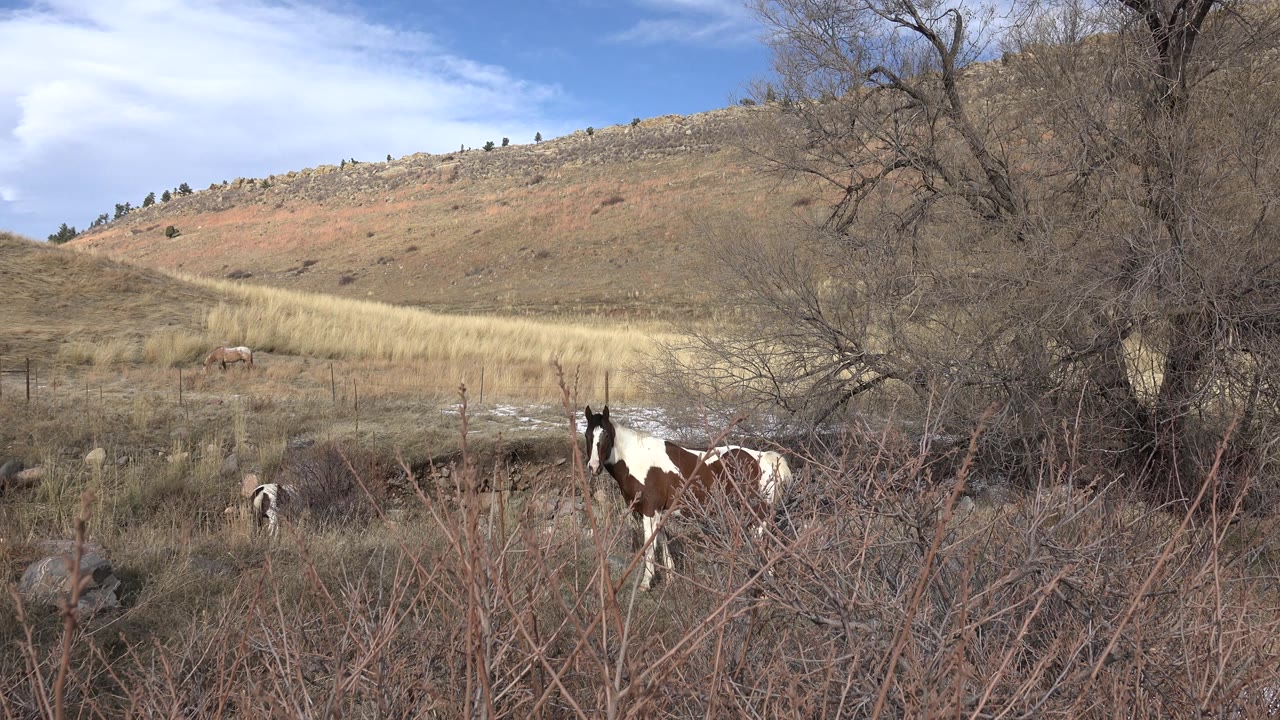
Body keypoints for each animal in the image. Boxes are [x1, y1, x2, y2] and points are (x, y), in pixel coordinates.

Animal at [583, 405, 793, 590]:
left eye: (606, 435)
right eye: (587, 435)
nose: (593, 467)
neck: (639, 460)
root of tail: (767, 459)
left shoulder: (650, 511)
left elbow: (649, 548)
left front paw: (646, 583)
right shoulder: (659, 512)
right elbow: (663, 543)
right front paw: (670, 579)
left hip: (758, 518)